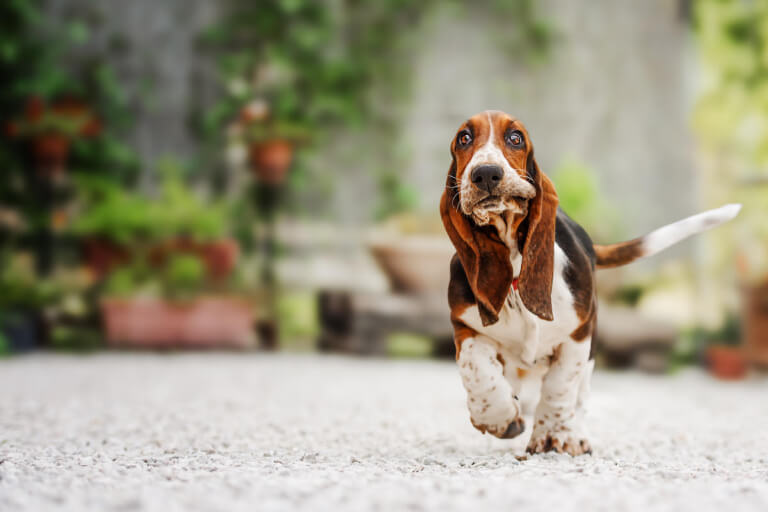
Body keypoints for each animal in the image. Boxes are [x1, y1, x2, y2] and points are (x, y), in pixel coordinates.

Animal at [440, 111, 740, 456]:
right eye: (464, 138)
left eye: (515, 138)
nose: (486, 173)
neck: (515, 270)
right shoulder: (465, 326)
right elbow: (477, 368)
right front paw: (498, 417)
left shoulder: (579, 334)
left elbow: (560, 387)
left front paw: (552, 434)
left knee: (579, 395)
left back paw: (574, 435)